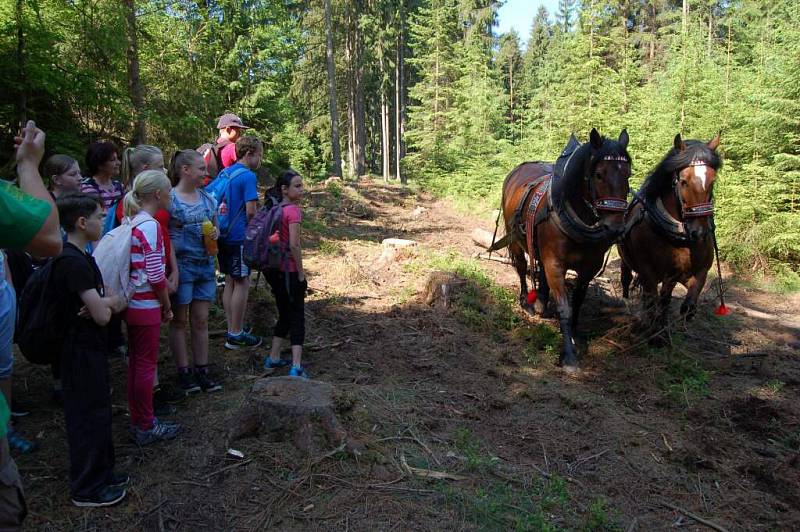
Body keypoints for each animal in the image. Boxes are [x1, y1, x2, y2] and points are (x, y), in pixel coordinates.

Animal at [500, 129, 632, 372]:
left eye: (628, 174)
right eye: (598, 174)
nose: (615, 228)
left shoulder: (589, 267)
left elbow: (577, 301)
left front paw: (576, 334)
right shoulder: (555, 264)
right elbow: (564, 306)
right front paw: (569, 355)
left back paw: (541, 300)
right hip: (514, 238)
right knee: (522, 268)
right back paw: (526, 301)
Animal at [620, 134, 724, 328]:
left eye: (712, 181)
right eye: (683, 181)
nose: (699, 232)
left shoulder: (691, 273)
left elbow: (684, 305)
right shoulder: (648, 273)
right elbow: (653, 304)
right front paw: (653, 330)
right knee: (627, 280)